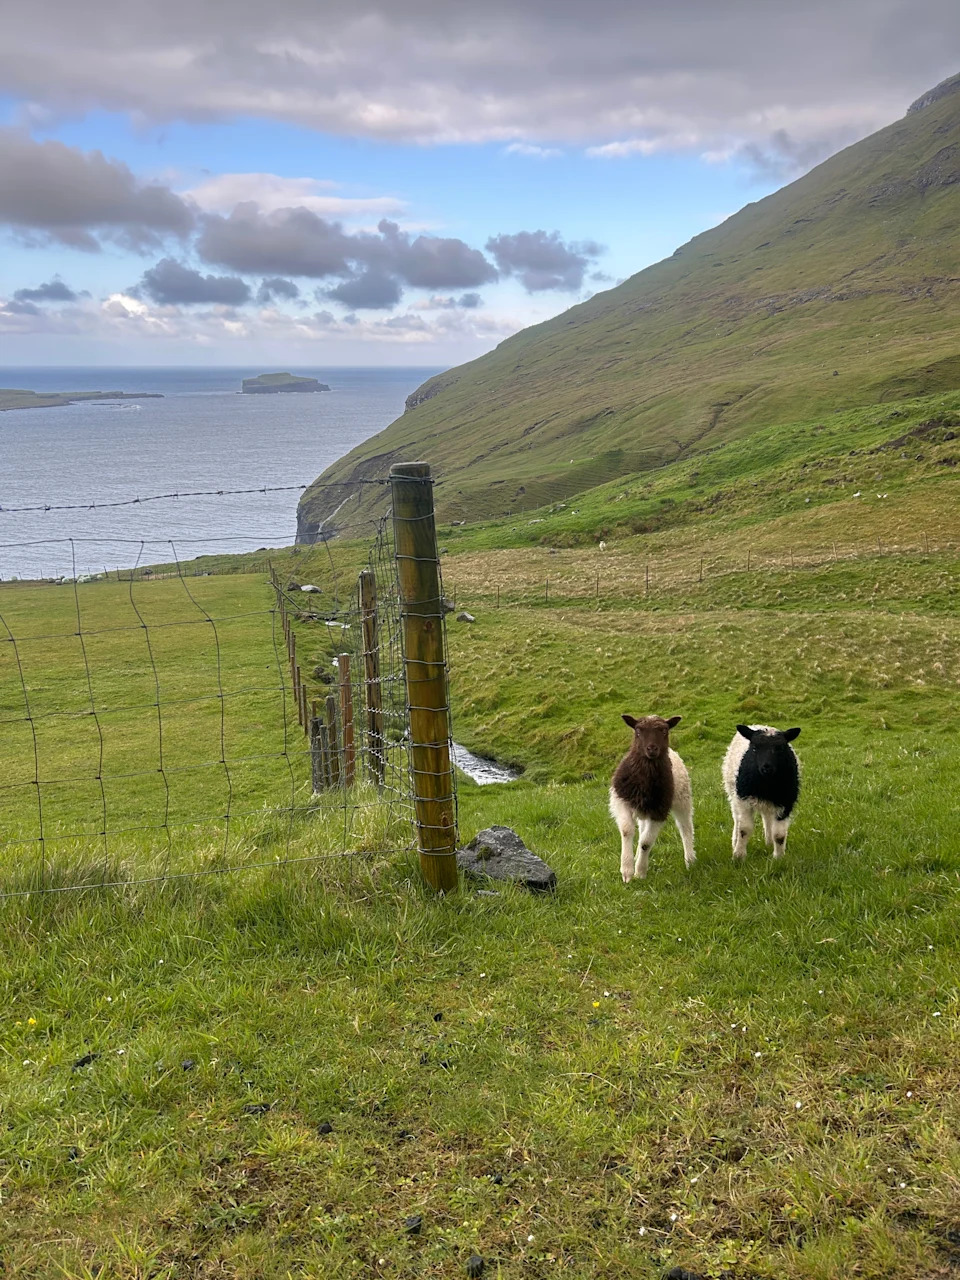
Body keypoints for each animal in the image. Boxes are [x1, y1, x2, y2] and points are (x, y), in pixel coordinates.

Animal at [610, 715, 695, 881]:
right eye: (638, 731)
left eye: (664, 731)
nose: (652, 748)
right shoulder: (621, 800)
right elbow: (627, 830)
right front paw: (627, 870)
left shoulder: (659, 811)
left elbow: (646, 843)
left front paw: (640, 872)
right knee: (642, 829)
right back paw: (636, 857)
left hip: (682, 799)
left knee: (685, 827)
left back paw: (690, 860)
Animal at [722, 724, 801, 860]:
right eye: (754, 748)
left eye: (780, 748)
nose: (766, 767)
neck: (766, 784)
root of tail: (757, 725)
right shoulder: (744, 800)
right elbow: (744, 829)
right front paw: (739, 856)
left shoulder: (785, 803)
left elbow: (779, 835)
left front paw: (779, 858)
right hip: (733, 793)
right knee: (737, 819)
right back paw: (735, 841)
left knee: (767, 818)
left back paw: (769, 842)